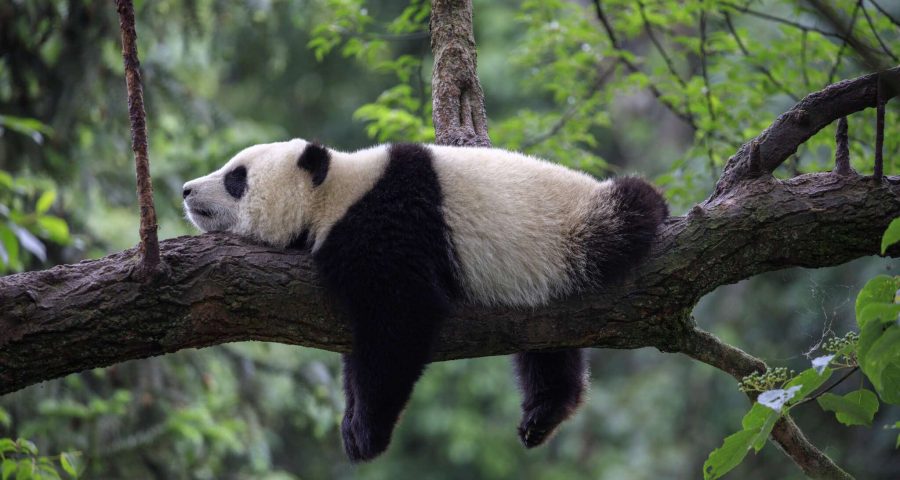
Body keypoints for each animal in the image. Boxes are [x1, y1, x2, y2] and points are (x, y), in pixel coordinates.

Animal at [182, 139, 668, 462]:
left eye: (236, 178)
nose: (186, 190)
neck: (337, 191)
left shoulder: (390, 225)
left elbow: (400, 321)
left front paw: (365, 433)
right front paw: (352, 420)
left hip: (575, 230)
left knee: (629, 211)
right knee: (548, 347)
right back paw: (543, 413)